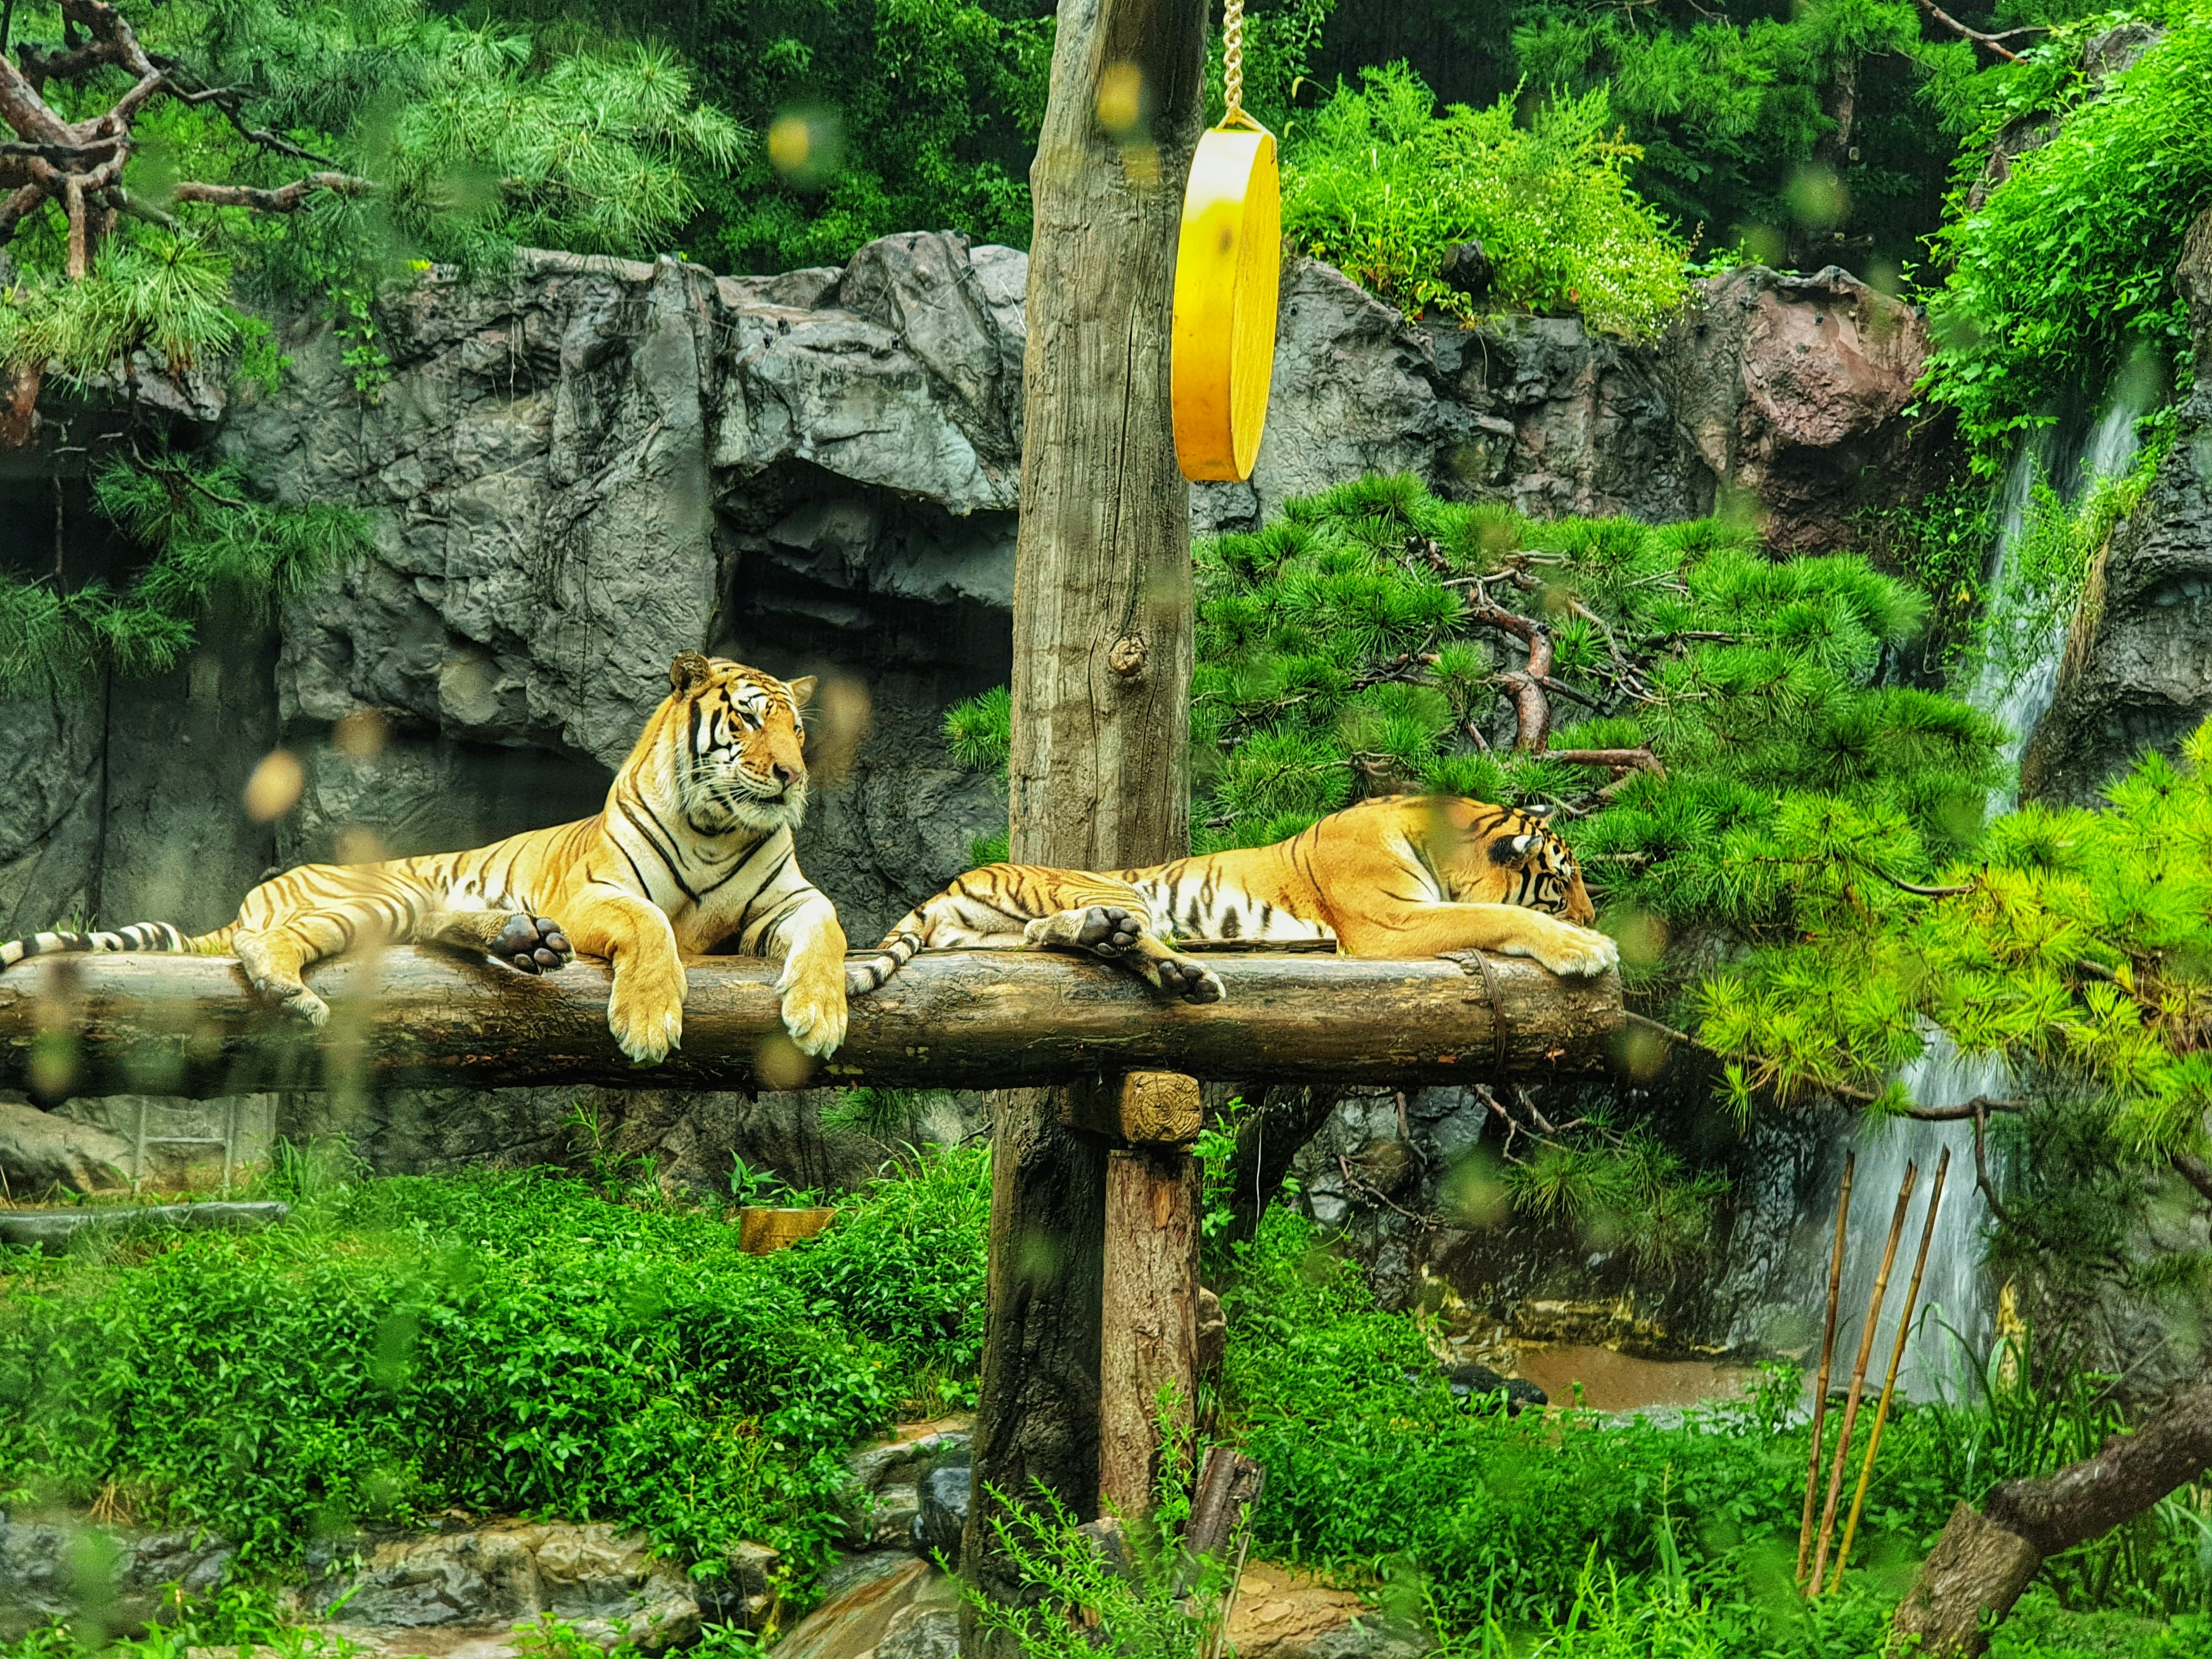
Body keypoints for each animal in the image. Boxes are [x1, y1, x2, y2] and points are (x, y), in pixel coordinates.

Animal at [0, 652, 848, 1066]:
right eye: (749, 720)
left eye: (799, 729)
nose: (793, 775)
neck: (717, 827)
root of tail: (259, 889)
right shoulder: (593, 893)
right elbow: (651, 926)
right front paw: (647, 1020)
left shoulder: (787, 901)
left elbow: (830, 928)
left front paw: (820, 1016)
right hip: (376, 899)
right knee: (263, 944)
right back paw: (295, 992)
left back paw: (523, 942)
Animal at [846, 794, 1619, 1002]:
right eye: (1563, 882)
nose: (1592, 914)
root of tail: (953, 883)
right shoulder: (1387, 924)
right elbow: (1494, 912)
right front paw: (1587, 946)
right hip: (1115, 884)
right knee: (1126, 935)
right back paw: (1184, 974)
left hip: (1012, 929)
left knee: (1049, 936)